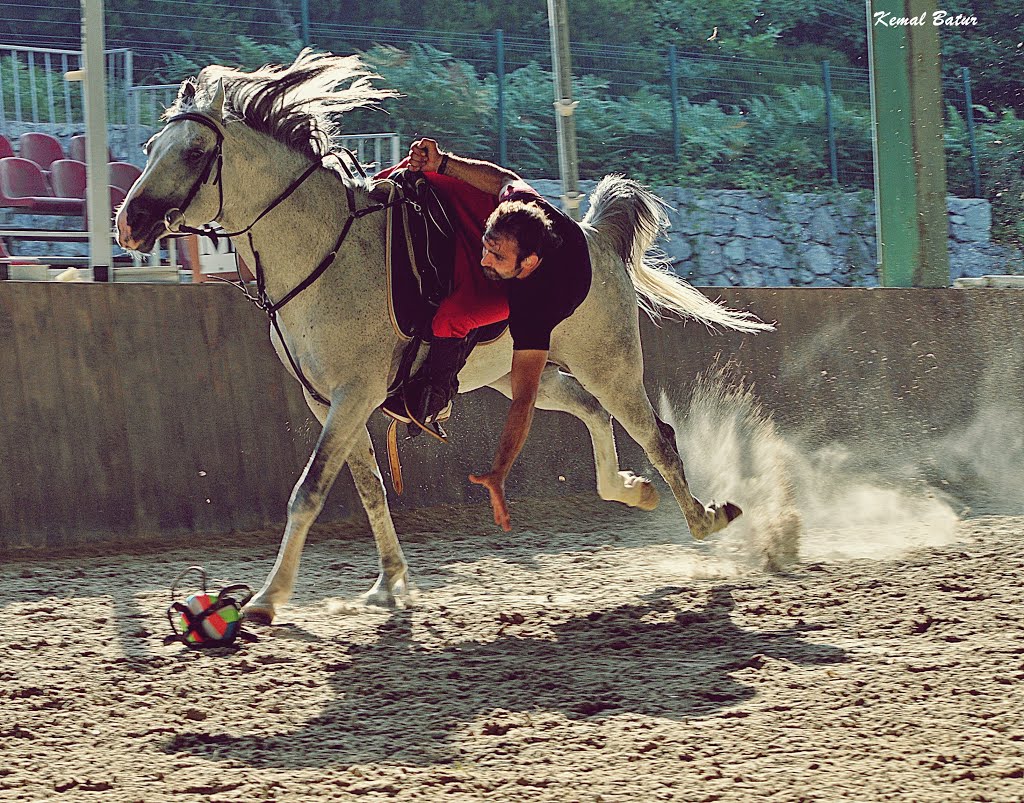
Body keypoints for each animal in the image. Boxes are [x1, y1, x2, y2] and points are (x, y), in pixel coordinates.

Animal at [116, 53, 770, 622]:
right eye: (149, 149)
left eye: (194, 150)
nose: (130, 222)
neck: (325, 249)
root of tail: (591, 238)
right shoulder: (327, 401)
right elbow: (370, 489)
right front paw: (389, 581)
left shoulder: (353, 395)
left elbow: (310, 491)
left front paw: (268, 598)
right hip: (522, 374)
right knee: (591, 411)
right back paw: (631, 491)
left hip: (609, 365)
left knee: (657, 436)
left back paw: (707, 520)